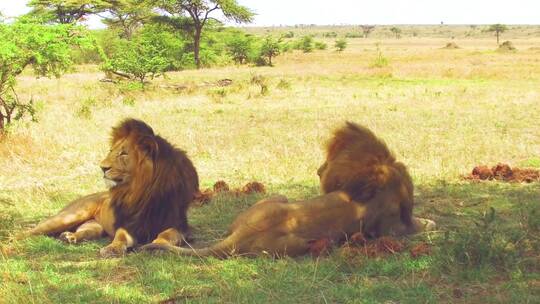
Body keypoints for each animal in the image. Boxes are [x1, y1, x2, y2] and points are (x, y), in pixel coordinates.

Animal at [24, 119, 199, 256]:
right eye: (111, 151)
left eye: (124, 153)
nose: (102, 167)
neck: (142, 192)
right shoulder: (128, 224)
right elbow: (120, 236)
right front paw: (113, 248)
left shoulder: (179, 225)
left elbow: (166, 234)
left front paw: (157, 246)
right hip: (68, 216)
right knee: (29, 232)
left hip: (94, 227)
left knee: (83, 232)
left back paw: (69, 237)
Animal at [141, 122, 436, 258]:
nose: (318, 170)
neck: (377, 169)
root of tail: (242, 236)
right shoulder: (395, 227)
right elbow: (420, 223)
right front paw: (431, 222)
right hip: (293, 231)